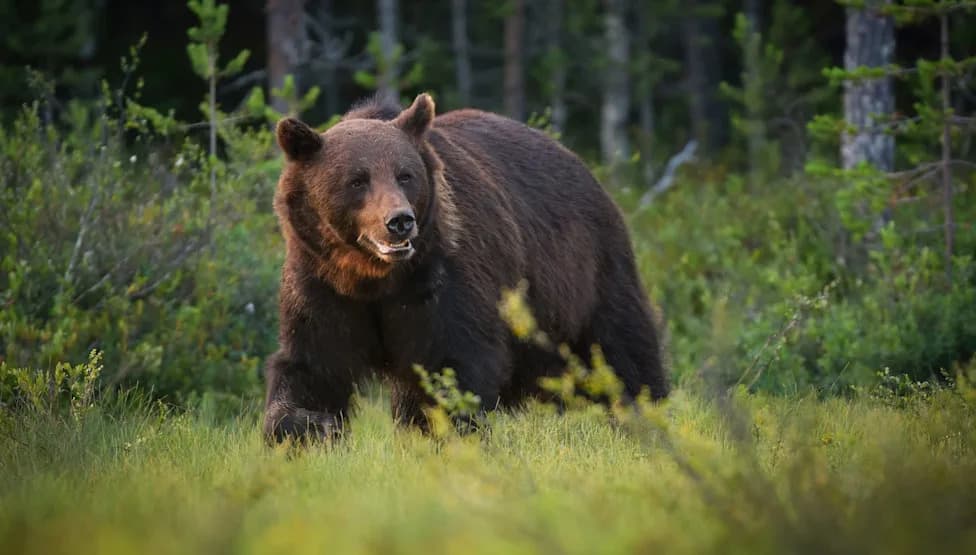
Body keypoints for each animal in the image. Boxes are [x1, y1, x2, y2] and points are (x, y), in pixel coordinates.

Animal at [263, 93, 668, 442]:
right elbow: (312, 364)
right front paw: (308, 426)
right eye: (357, 180)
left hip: (585, 269)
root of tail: (579, 162)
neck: (374, 277)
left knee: (620, 343)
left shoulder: (443, 278)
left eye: (404, 174)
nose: (399, 221)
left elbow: (453, 360)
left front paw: (443, 429)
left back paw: (645, 412)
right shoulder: (320, 282)